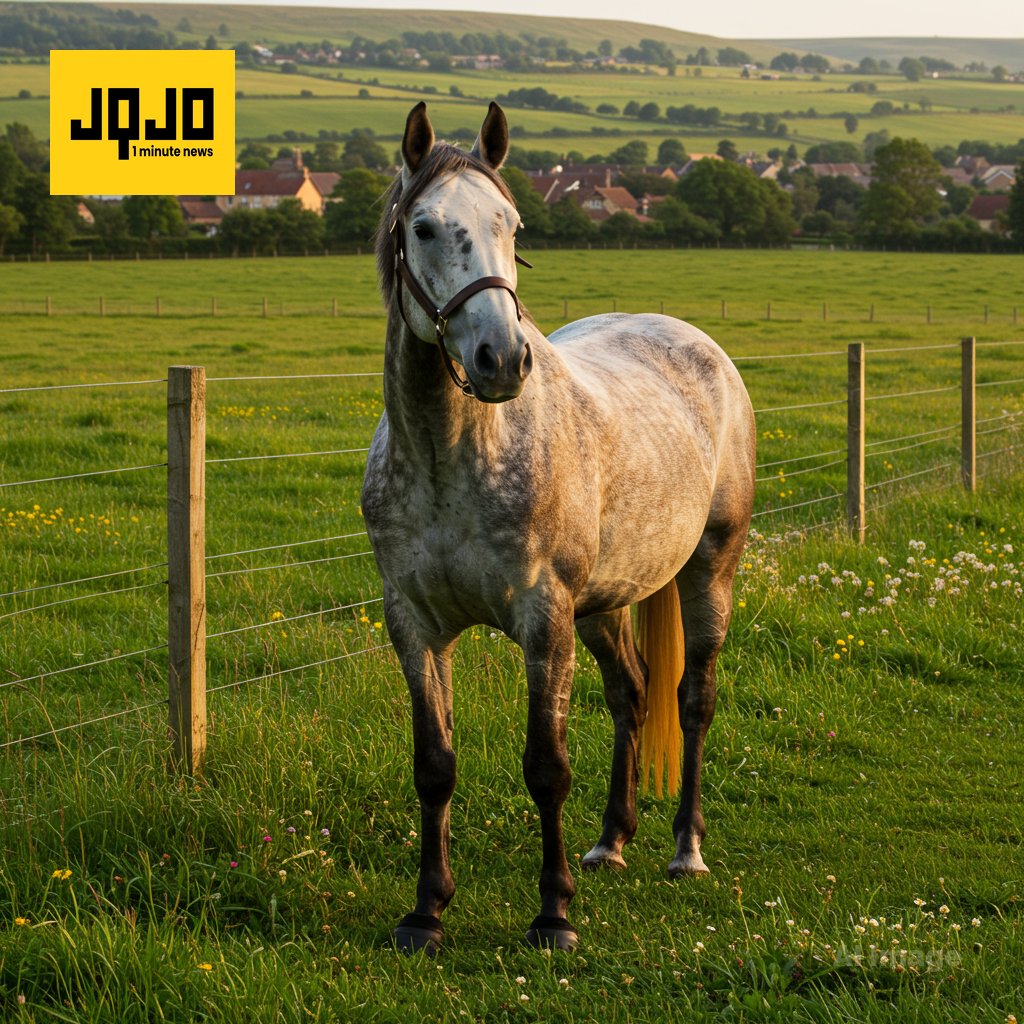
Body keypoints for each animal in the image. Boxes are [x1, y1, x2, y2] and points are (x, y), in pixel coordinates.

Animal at [361, 101, 756, 954]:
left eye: (510, 224)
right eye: (424, 228)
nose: (501, 360)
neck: (452, 458)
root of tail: (699, 345)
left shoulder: (543, 620)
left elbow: (547, 765)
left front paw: (553, 914)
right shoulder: (414, 624)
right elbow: (434, 765)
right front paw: (426, 910)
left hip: (709, 570)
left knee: (694, 698)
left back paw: (685, 849)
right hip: (603, 606)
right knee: (632, 694)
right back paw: (611, 840)